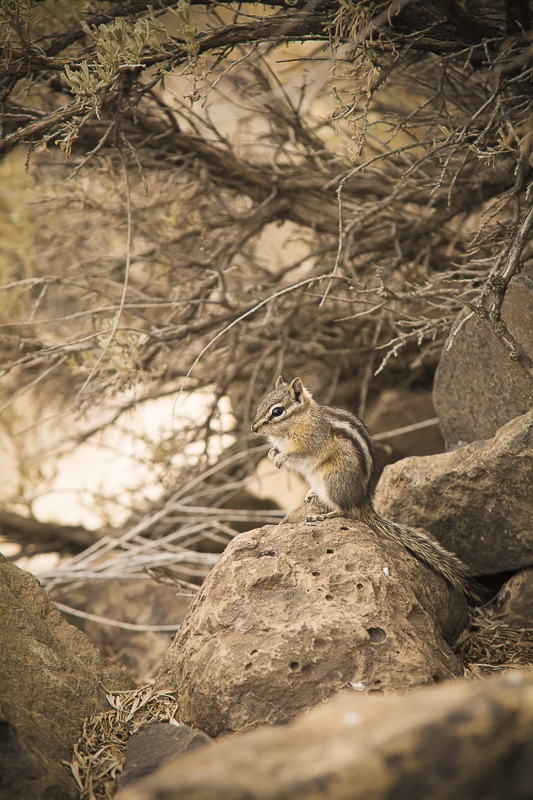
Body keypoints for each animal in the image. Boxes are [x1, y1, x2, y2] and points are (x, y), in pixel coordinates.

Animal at [251, 375, 486, 603]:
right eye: (260, 404)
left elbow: (296, 453)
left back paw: (322, 516)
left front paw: (280, 456)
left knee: (343, 510)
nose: (254, 428)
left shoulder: (311, 440)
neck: (301, 419)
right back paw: (312, 495)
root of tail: (363, 503)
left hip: (332, 480)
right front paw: (272, 453)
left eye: (277, 411)